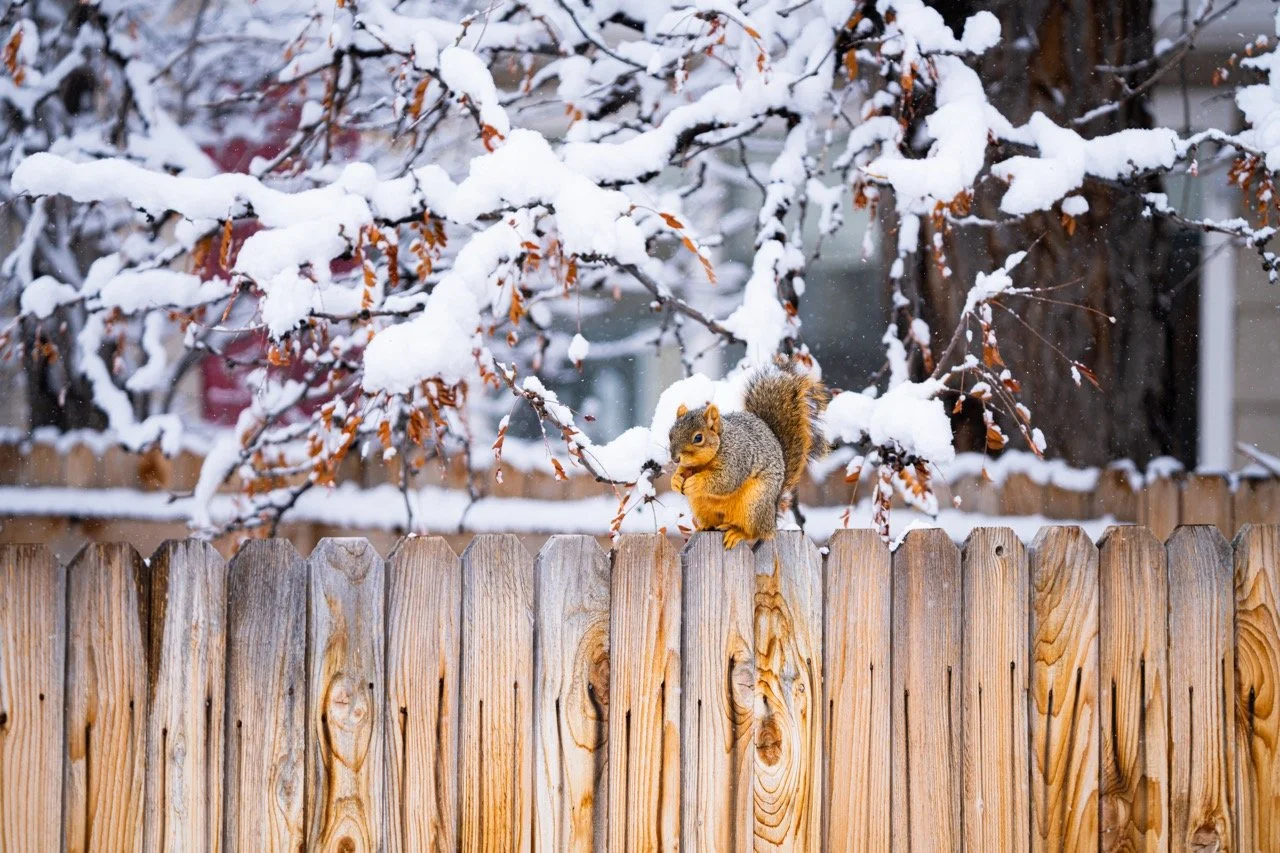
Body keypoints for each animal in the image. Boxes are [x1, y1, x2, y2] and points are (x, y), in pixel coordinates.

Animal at [668, 366, 828, 550]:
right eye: (670, 435)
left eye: (698, 438)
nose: (675, 459)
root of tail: (772, 516)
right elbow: (682, 473)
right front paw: (675, 480)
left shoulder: (738, 459)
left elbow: (725, 481)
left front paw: (695, 482)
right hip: (700, 505)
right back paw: (706, 527)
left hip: (754, 504)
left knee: (756, 533)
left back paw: (737, 533)